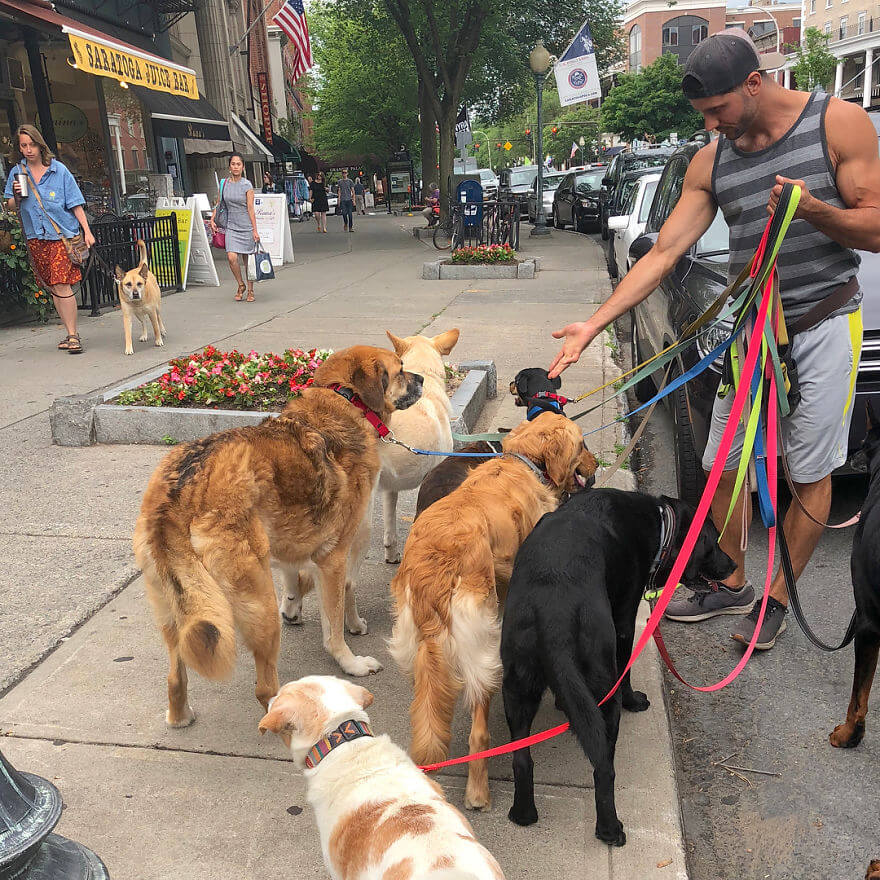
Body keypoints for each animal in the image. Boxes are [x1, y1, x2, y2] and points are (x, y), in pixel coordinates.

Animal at [132, 344, 424, 728]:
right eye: (401, 368)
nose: (422, 378)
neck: (344, 398)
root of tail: (180, 492)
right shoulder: (337, 554)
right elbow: (337, 612)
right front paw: (350, 658)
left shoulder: (295, 547)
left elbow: (305, 581)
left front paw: (313, 608)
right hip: (259, 603)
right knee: (265, 689)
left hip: (176, 606)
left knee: (175, 676)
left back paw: (181, 716)